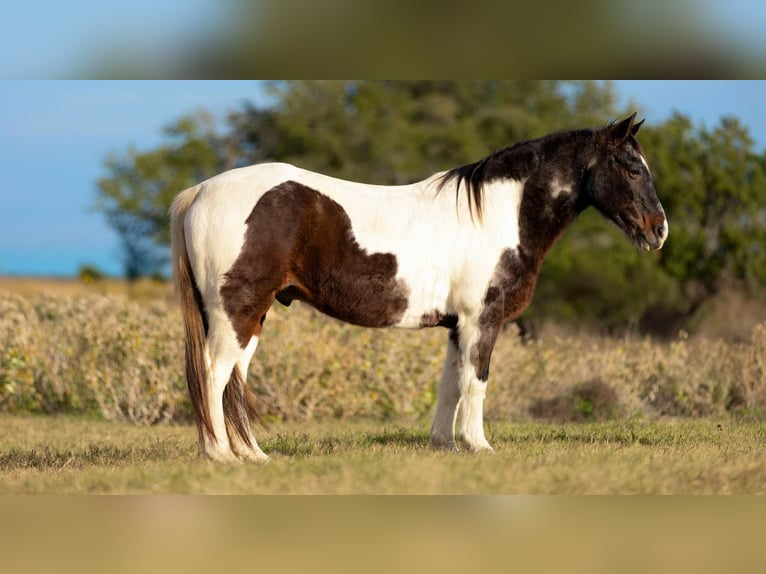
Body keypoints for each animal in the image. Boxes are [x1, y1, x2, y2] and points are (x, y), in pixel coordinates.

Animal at [170, 113, 668, 462]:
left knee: (234, 379)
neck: (496, 215)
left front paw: (445, 444)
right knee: (214, 374)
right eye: (631, 168)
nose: (659, 230)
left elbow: (450, 384)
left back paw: (252, 455)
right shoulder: (482, 321)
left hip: (251, 316)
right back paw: (220, 455)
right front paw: (479, 445)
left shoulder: (458, 326)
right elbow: (476, 382)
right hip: (237, 312)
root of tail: (199, 192)